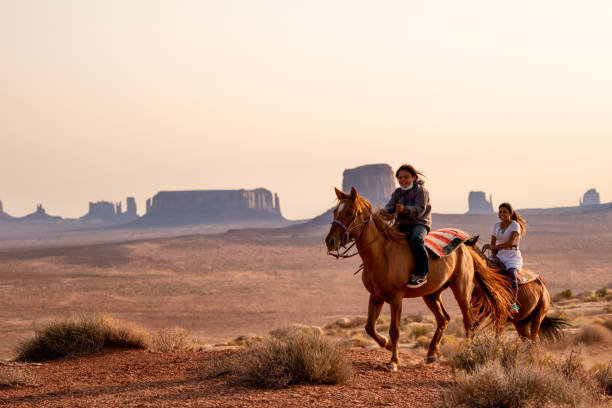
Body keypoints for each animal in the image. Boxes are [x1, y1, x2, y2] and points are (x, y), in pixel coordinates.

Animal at [326, 186, 516, 372]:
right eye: (335, 211)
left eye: (351, 212)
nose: (331, 241)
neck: (381, 254)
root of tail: (465, 248)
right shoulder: (376, 296)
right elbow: (369, 327)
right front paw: (387, 345)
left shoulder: (396, 298)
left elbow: (394, 330)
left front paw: (393, 361)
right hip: (431, 294)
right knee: (444, 319)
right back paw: (431, 353)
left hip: (461, 290)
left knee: (468, 321)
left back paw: (468, 353)